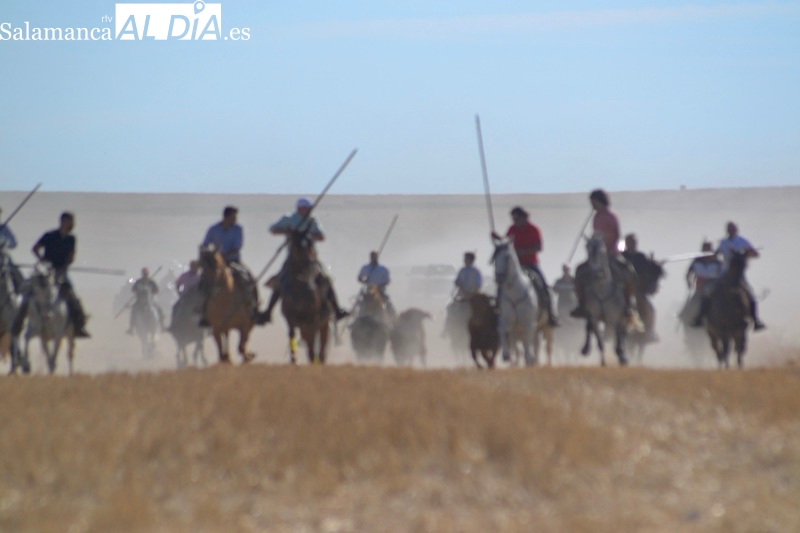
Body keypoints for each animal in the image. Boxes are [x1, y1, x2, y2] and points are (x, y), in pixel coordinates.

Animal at [279, 231, 331, 365]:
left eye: (311, 244)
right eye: (298, 247)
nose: (312, 265)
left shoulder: (313, 318)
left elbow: (313, 341)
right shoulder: (290, 317)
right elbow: (292, 334)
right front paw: (293, 359)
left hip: (324, 323)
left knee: (321, 343)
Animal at [579, 233, 632, 367]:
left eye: (602, 252)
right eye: (587, 250)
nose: (597, 275)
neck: (602, 289)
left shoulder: (615, 317)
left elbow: (619, 336)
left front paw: (622, 356)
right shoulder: (594, 317)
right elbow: (599, 341)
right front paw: (603, 362)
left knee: (622, 333)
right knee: (589, 328)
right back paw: (586, 349)